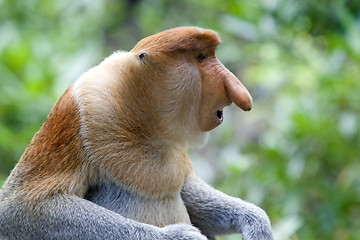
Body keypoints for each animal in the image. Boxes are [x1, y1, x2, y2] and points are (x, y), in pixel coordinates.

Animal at [0, 26, 272, 240]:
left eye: (209, 55)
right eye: (201, 57)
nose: (239, 92)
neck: (143, 114)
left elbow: (184, 187)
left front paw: (256, 221)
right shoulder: (81, 110)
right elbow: (18, 208)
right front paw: (176, 237)